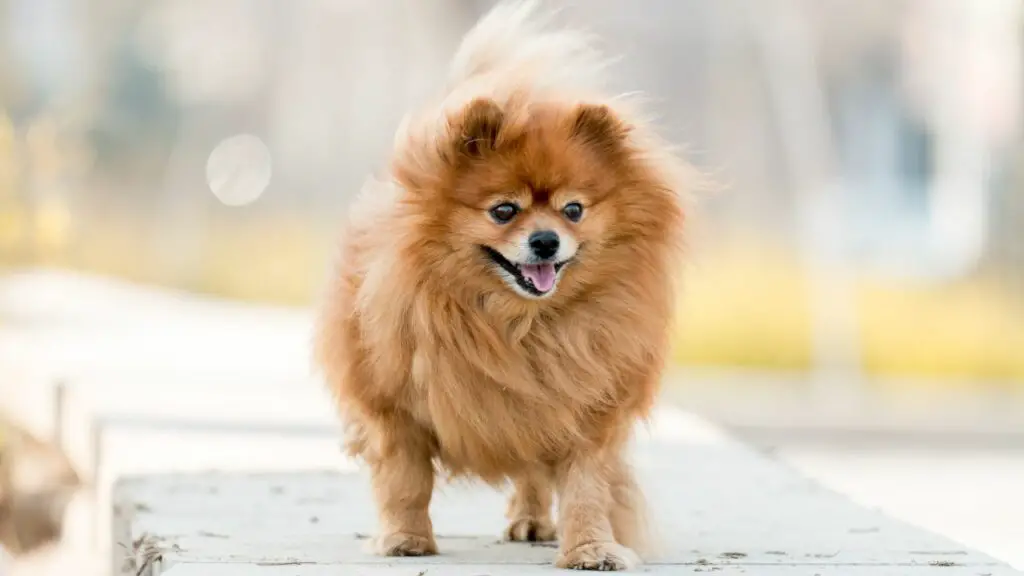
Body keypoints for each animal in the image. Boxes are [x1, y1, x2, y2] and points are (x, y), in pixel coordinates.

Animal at [315, 1, 692, 569]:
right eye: (503, 211)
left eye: (573, 210)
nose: (545, 240)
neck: (521, 326)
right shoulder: (395, 408)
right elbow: (406, 482)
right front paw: (405, 539)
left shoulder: (585, 411)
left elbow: (586, 489)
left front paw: (591, 548)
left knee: (533, 474)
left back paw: (531, 521)